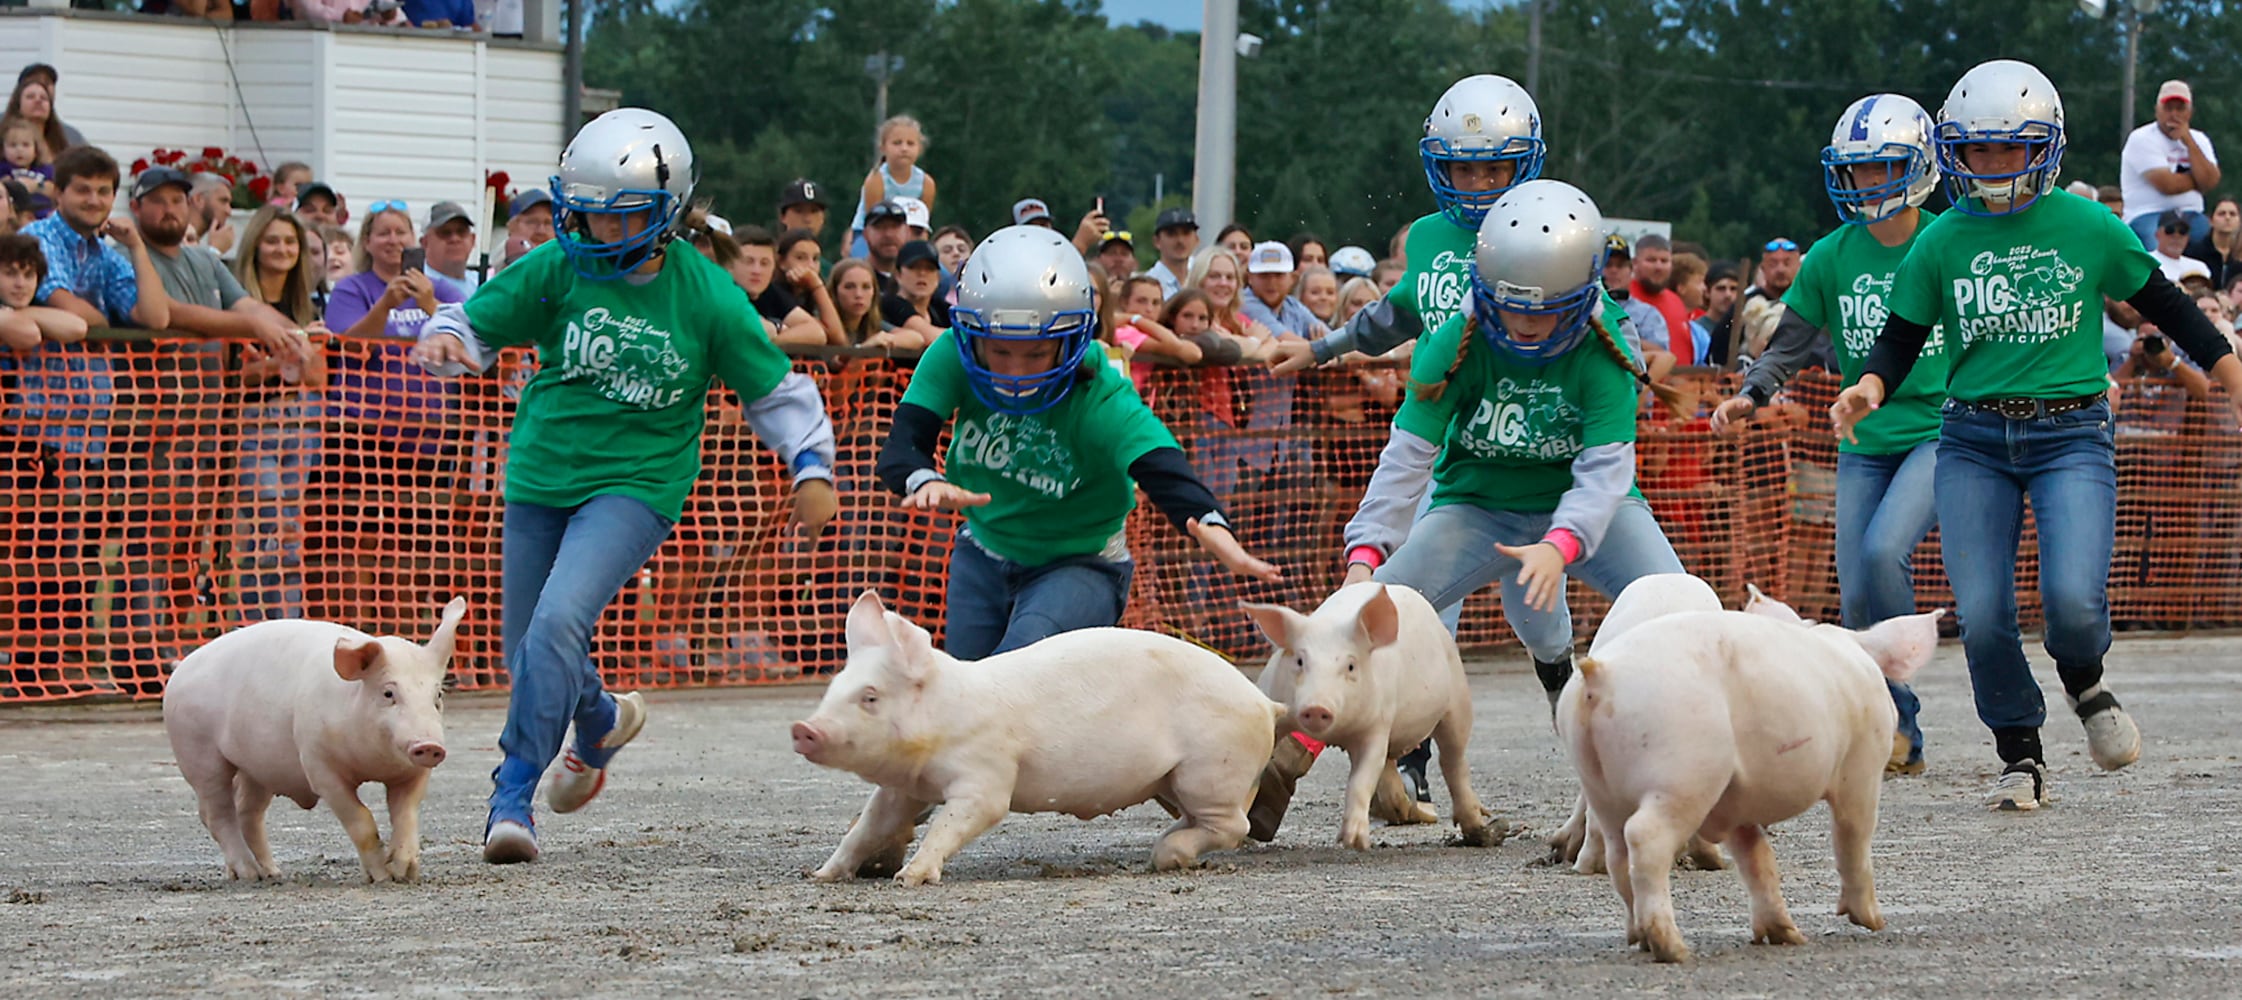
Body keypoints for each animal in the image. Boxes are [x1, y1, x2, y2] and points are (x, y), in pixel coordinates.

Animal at [164, 596, 468, 878]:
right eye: (388, 693)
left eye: (437, 696)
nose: (429, 745)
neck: (373, 763)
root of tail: (181, 668)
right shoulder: (319, 764)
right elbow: (361, 820)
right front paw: (381, 877)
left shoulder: (413, 773)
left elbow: (406, 814)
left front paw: (404, 873)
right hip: (199, 754)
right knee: (217, 814)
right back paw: (249, 874)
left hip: (258, 768)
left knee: (247, 812)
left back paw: (272, 873)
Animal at [793, 591, 1282, 887]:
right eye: (833, 687)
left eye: (870, 696)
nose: (802, 728)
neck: (945, 716)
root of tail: (1264, 701)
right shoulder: (903, 788)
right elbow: (870, 826)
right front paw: (819, 875)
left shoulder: (986, 774)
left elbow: (958, 819)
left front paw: (909, 878)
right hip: (1180, 780)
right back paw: (1162, 850)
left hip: (1212, 770)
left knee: (1233, 825)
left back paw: (1165, 855)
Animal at [1255, 578, 1497, 852]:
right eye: (1299, 661)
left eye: (1351, 666)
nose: (1317, 707)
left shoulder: (1377, 725)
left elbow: (1361, 779)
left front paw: (1354, 842)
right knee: (1392, 765)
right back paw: (1401, 809)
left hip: (1457, 701)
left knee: (1453, 761)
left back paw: (1481, 832)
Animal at [1560, 600, 1946, 959]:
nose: (1878, 921)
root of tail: (1600, 676)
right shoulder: (1862, 765)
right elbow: (1853, 836)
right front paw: (1873, 921)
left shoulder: (1735, 803)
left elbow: (1756, 857)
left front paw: (1787, 936)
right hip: (1682, 771)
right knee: (1645, 838)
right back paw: (1674, 949)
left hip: (1599, 785)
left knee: (1617, 852)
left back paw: (1639, 938)